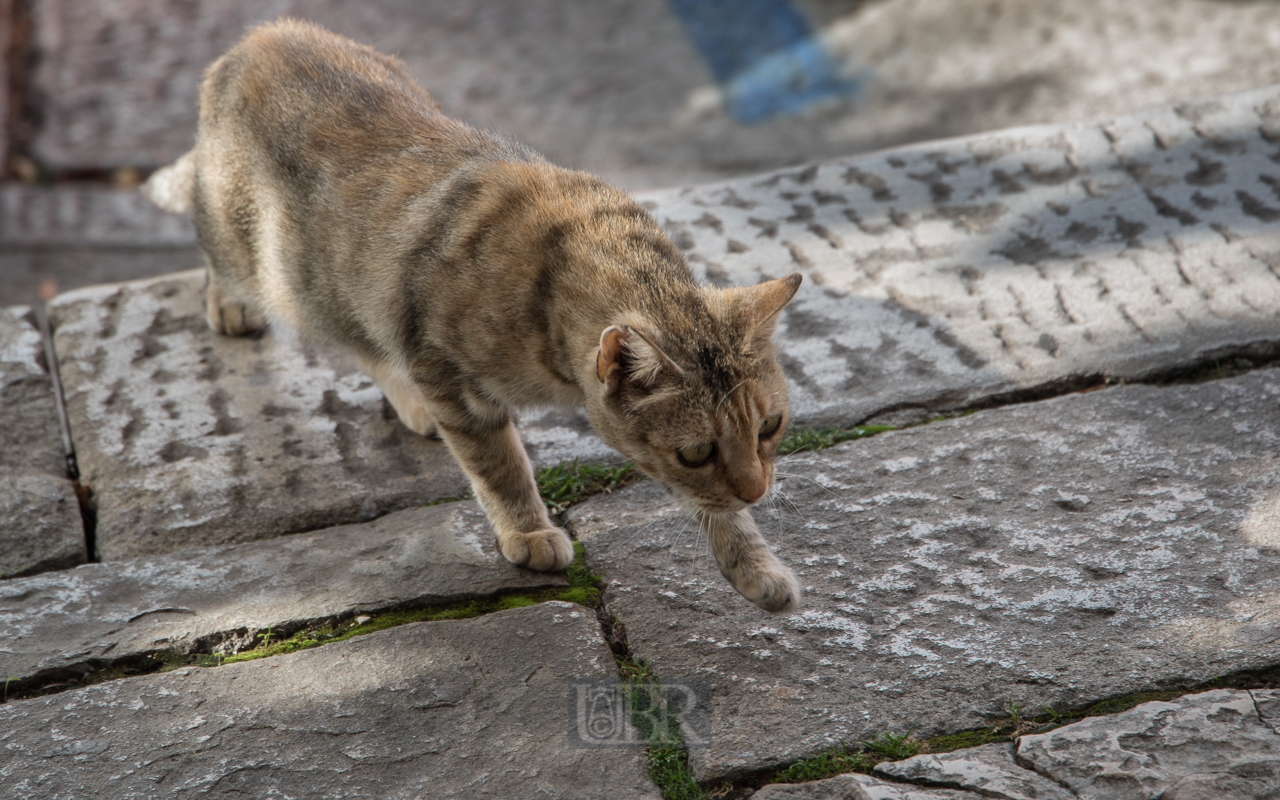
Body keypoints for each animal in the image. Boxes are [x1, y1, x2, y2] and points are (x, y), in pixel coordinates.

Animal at [145, 18, 803, 611]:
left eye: (769, 426)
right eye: (697, 450)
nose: (757, 490)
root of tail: (254, 37)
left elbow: (710, 507)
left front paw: (753, 564)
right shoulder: (447, 372)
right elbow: (500, 466)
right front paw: (529, 531)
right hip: (275, 263)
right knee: (237, 263)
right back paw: (231, 302)